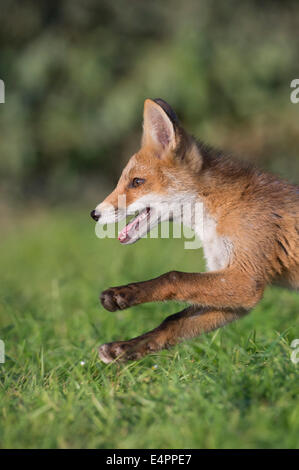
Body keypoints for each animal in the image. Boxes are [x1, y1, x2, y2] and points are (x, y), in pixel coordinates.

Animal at [90, 98, 298, 364]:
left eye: (137, 182)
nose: (95, 214)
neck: (223, 208)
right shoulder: (234, 290)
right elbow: (172, 322)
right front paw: (124, 349)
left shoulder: (246, 280)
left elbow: (174, 276)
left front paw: (122, 295)